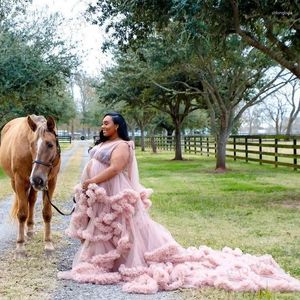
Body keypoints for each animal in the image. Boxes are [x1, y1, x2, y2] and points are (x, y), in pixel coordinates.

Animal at [0, 115, 61, 258]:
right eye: (32, 145)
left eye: (50, 144)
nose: (37, 179)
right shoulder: (20, 182)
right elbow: (22, 213)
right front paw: (20, 246)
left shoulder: (51, 182)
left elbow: (47, 213)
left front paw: (48, 243)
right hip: (16, 183)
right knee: (22, 203)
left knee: (31, 201)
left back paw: (30, 229)